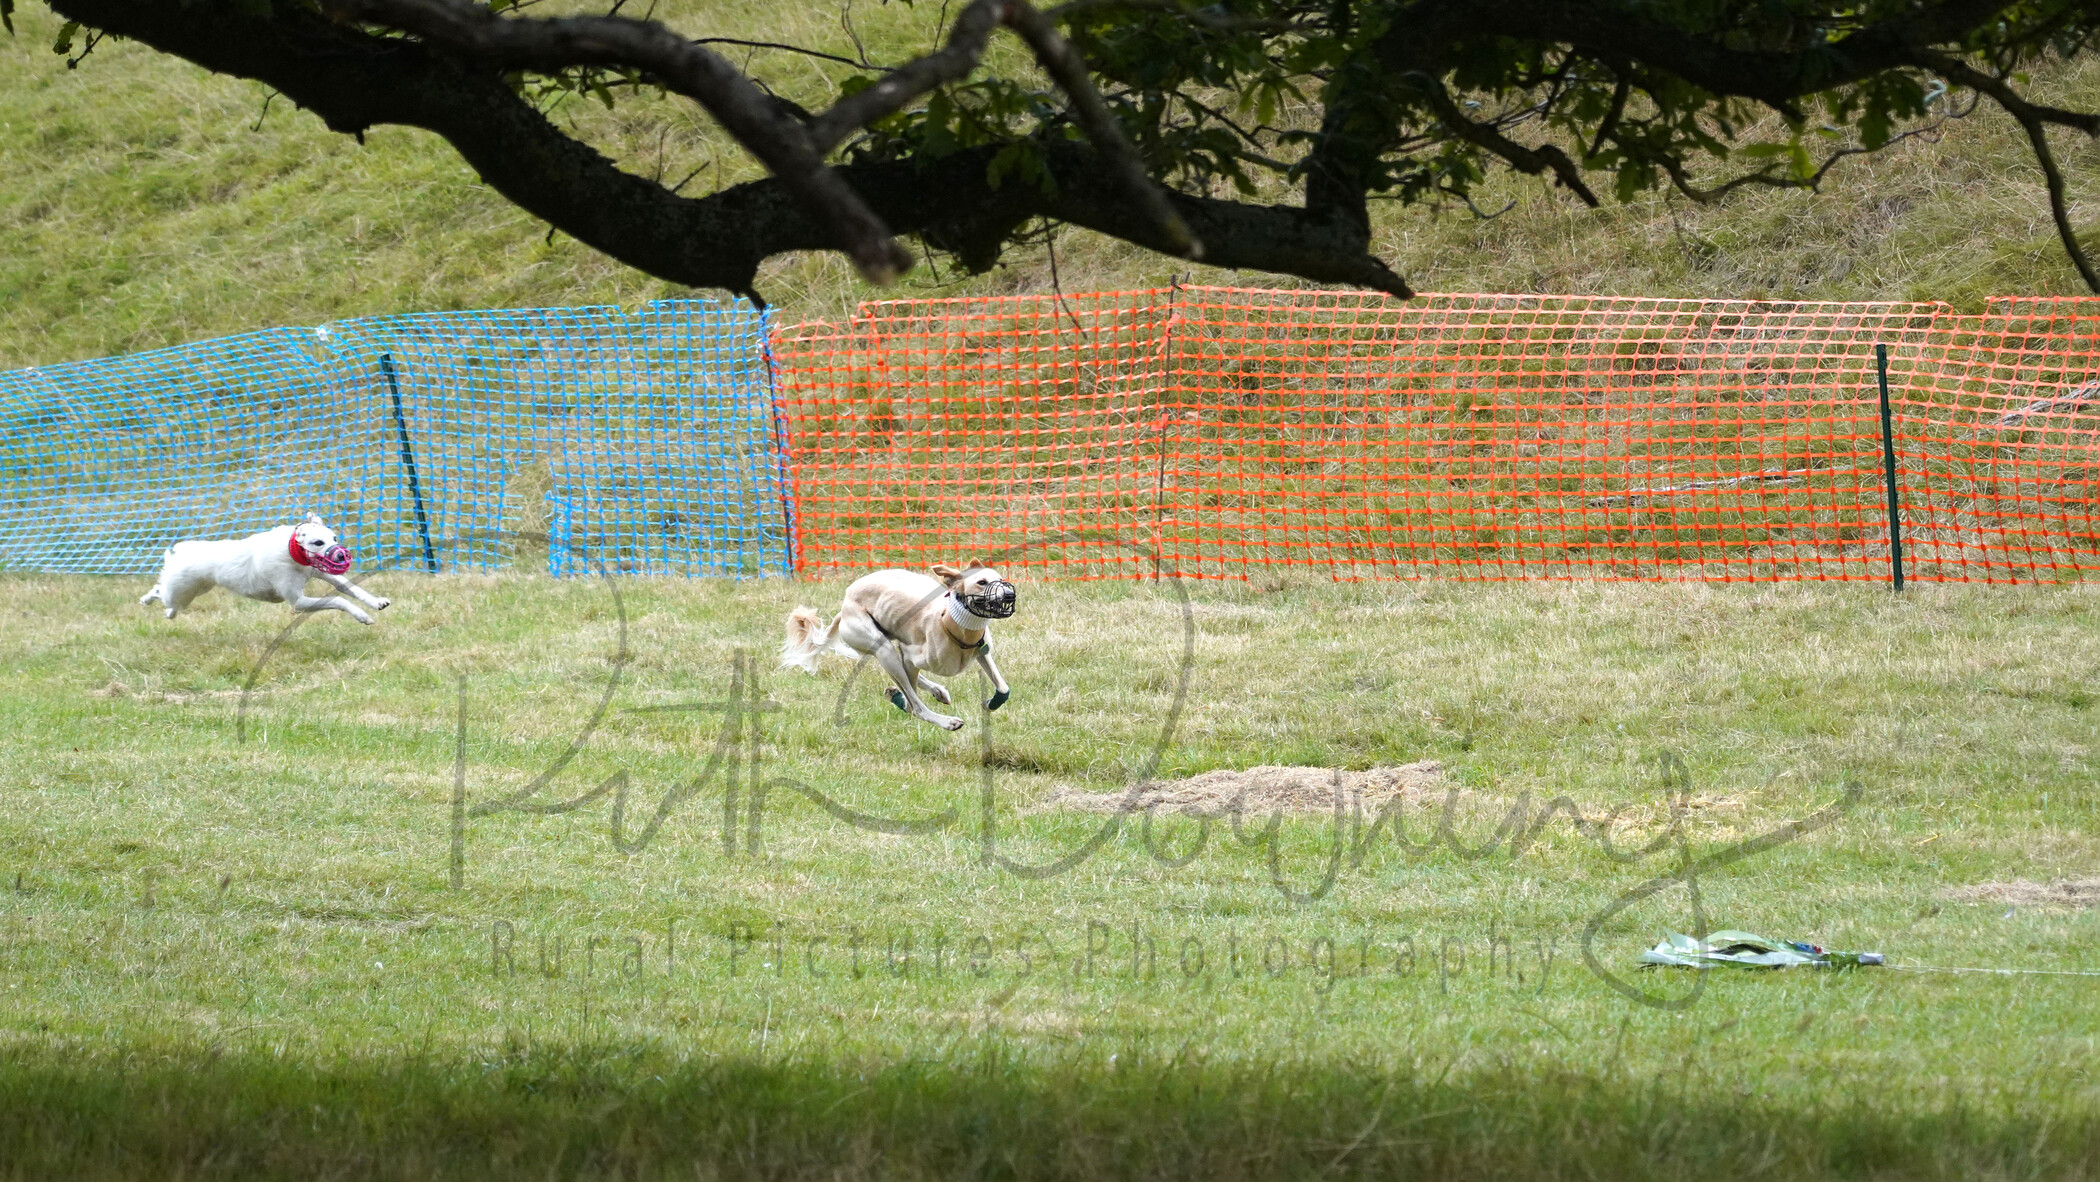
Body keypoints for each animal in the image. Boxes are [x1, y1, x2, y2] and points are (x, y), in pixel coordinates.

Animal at [138, 518, 390, 629]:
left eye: (334, 538)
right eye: (318, 542)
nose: (341, 555)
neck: (292, 552)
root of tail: (179, 553)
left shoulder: (322, 573)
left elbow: (349, 588)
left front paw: (376, 602)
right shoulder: (298, 601)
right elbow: (339, 599)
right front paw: (362, 616)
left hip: (195, 591)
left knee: (172, 605)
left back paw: (168, 614)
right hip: (179, 590)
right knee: (159, 590)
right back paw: (146, 600)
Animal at [785, 562, 1020, 730]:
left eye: (1001, 579)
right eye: (982, 582)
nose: (1010, 594)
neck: (950, 622)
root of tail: (844, 607)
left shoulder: (982, 652)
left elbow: (1004, 688)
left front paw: (990, 703)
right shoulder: (910, 654)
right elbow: (910, 699)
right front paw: (899, 697)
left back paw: (936, 691)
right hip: (882, 647)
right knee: (914, 704)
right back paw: (943, 719)